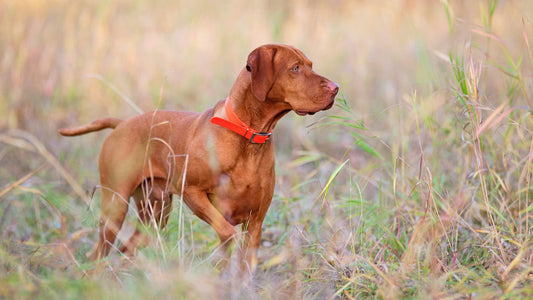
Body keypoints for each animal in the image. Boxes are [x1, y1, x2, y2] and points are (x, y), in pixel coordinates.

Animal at [60, 44, 338, 272]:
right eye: (295, 68)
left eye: (310, 65)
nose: (336, 89)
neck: (248, 138)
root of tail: (122, 124)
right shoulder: (193, 194)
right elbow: (228, 235)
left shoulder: (256, 222)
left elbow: (245, 263)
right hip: (115, 209)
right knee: (98, 254)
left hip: (156, 214)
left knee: (125, 250)